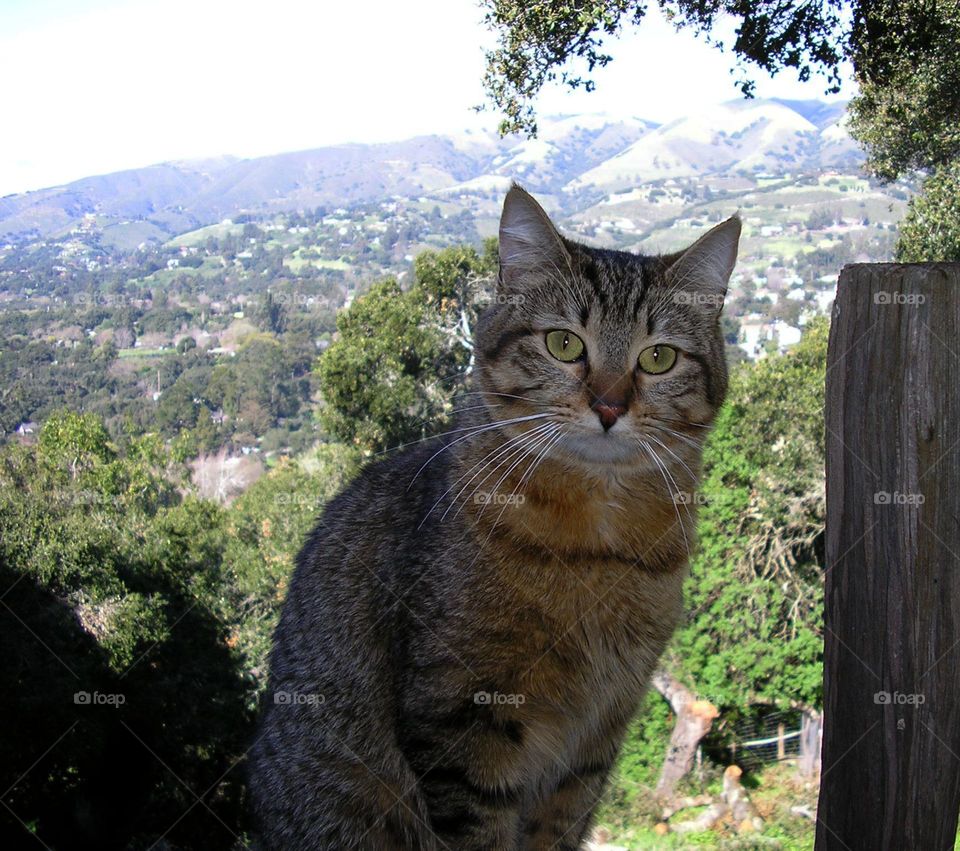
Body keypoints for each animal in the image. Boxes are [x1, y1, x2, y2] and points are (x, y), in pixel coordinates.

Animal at [249, 188, 744, 851]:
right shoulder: (462, 718)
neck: (596, 544)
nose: (609, 406)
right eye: (564, 344)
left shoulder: (594, 742)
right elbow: (479, 828)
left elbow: (555, 829)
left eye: (659, 357)